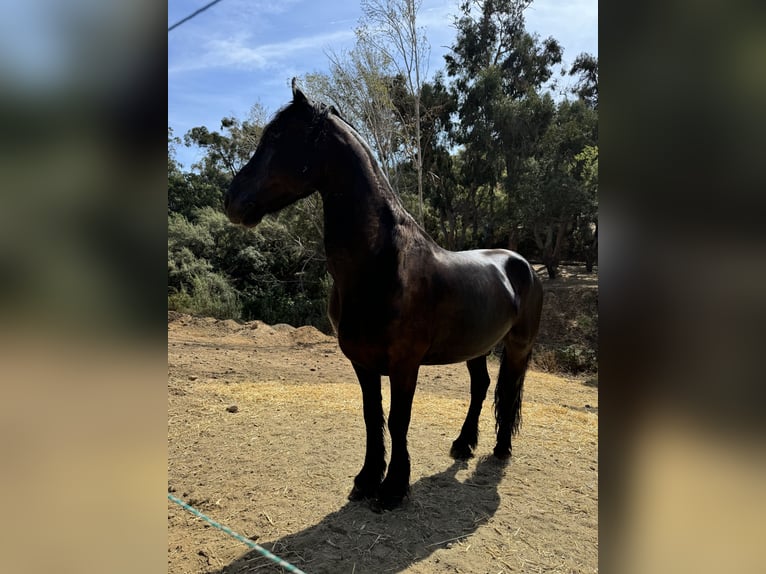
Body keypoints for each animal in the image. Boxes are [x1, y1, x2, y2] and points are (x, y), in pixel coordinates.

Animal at [225, 81, 544, 512]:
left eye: (278, 137)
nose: (232, 201)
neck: (380, 265)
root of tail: (524, 265)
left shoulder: (404, 363)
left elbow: (398, 420)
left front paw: (393, 488)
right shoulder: (363, 361)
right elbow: (371, 416)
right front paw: (366, 480)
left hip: (518, 346)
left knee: (507, 392)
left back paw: (501, 449)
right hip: (477, 346)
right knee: (481, 387)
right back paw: (463, 445)